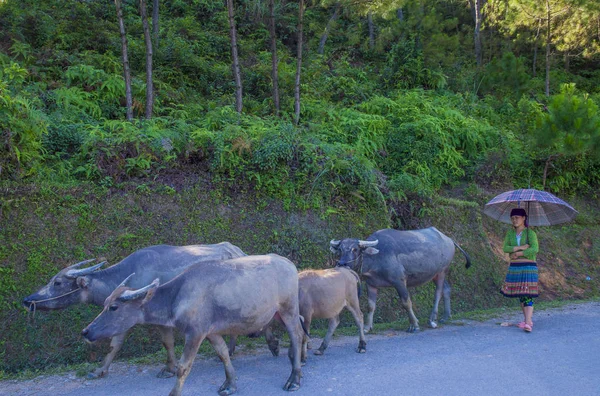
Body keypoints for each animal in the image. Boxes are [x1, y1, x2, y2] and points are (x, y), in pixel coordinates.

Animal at [22, 241, 245, 378]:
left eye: (57, 282)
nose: (28, 300)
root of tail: (238, 251)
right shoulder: (122, 316)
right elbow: (115, 344)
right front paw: (100, 370)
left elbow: (167, 342)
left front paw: (169, 369)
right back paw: (230, 350)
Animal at [81, 254, 304, 396]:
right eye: (105, 302)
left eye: (114, 307)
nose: (86, 331)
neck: (178, 296)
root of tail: (289, 264)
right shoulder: (211, 332)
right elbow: (223, 353)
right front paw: (230, 384)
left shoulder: (195, 333)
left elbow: (183, 367)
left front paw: (173, 392)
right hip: (276, 313)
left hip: (289, 310)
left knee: (297, 335)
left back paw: (294, 378)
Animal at [330, 227, 472, 332]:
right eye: (340, 249)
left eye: (355, 249)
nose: (342, 264)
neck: (376, 258)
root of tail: (448, 239)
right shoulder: (371, 284)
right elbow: (371, 306)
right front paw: (366, 327)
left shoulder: (399, 281)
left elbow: (406, 302)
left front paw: (414, 325)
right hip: (435, 274)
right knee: (447, 289)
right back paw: (445, 316)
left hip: (442, 270)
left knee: (438, 292)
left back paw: (432, 319)